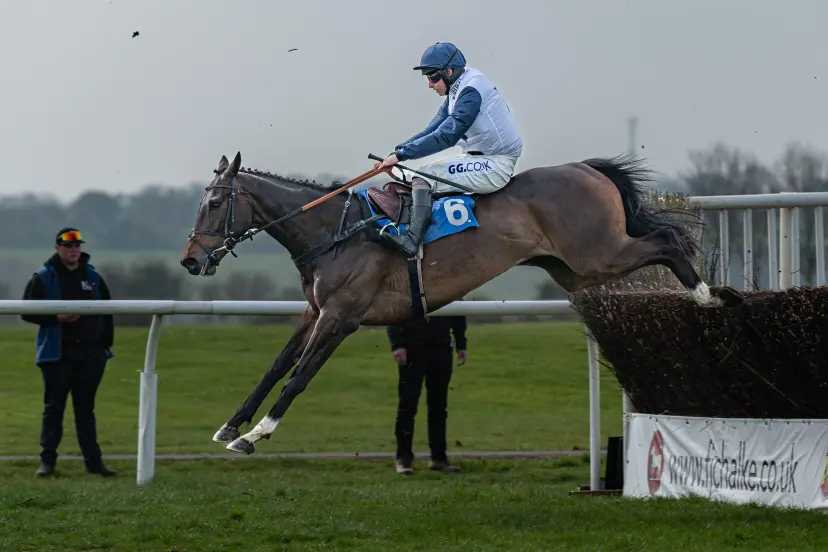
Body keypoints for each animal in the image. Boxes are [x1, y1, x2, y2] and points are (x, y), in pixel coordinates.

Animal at [181, 150, 744, 452]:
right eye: (201, 201)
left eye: (215, 201)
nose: (189, 261)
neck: (333, 230)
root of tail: (587, 169)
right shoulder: (316, 311)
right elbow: (276, 366)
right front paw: (231, 423)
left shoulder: (342, 316)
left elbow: (299, 376)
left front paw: (257, 433)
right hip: (576, 266)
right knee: (656, 241)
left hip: (597, 252)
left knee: (666, 239)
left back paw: (707, 294)